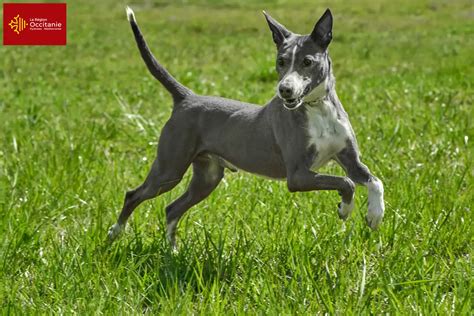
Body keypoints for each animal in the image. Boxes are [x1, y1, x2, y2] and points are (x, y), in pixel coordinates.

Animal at [107, 6, 386, 248]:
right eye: (281, 61)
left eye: (307, 61)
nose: (285, 90)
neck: (317, 107)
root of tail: (186, 97)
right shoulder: (298, 176)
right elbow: (346, 183)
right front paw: (346, 208)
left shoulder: (350, 160)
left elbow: (374, 181)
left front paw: (375, 215)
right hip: (169, 168)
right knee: (134, 195)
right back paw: (115, 234)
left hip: (207, 177)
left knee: (172, 208)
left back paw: (172, 251)